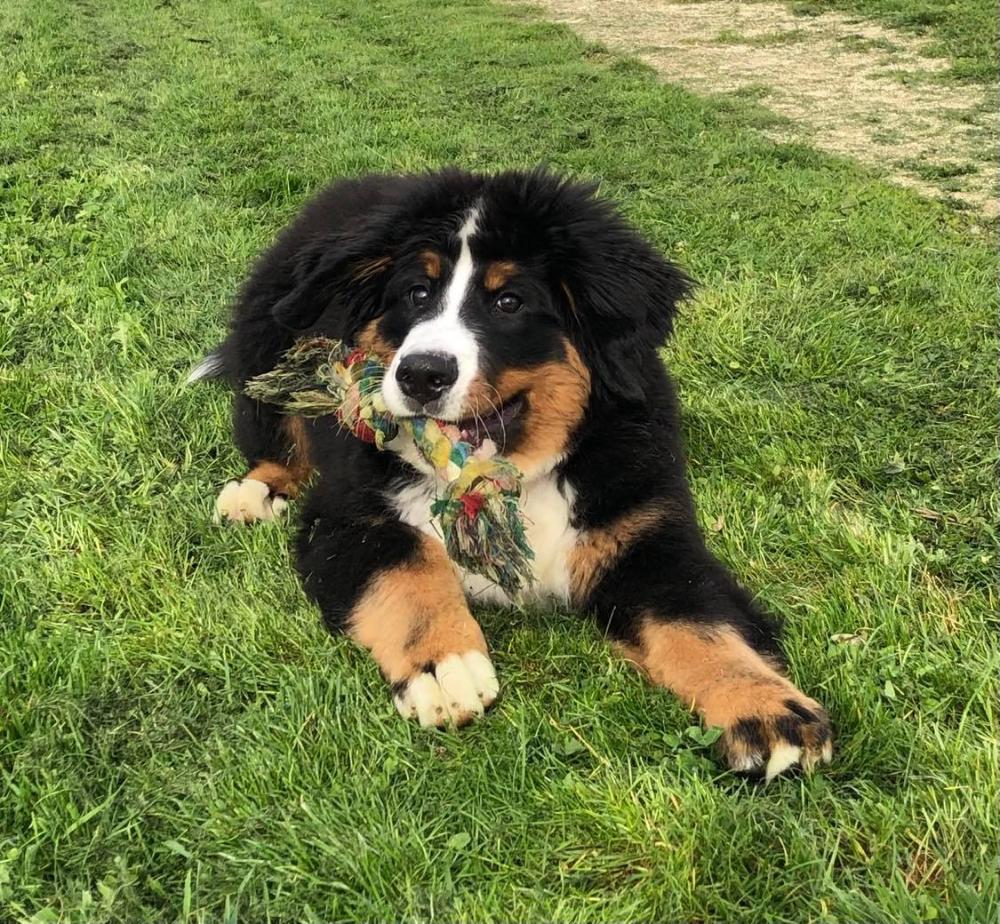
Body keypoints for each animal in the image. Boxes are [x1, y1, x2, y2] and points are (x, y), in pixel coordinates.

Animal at [194, 168, 832, 781]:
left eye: (508, 303)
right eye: (416, 292)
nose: (420, 374)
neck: (502, 479)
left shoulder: (642, 530)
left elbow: (701, 624)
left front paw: (767, 710)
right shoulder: (351, 514)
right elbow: (408, 570)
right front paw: (445, 667)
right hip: (273, 341)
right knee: (272, 426)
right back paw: (255, 492)